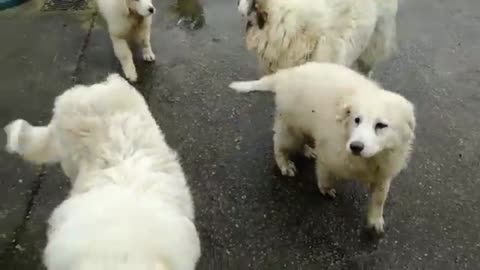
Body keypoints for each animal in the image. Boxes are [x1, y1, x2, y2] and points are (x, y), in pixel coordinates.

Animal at [231, 61, 414, 234]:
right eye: (357, 120)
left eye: (381, 125)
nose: (355, 147)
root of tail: (286, 74)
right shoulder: (329, 152)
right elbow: (324, 173)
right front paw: (325, 189)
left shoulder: (385, 170)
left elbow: (380, 197)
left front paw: (376, 220)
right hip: (291, 127)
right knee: (279, 144)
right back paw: (284, 164)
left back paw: (306, 150)